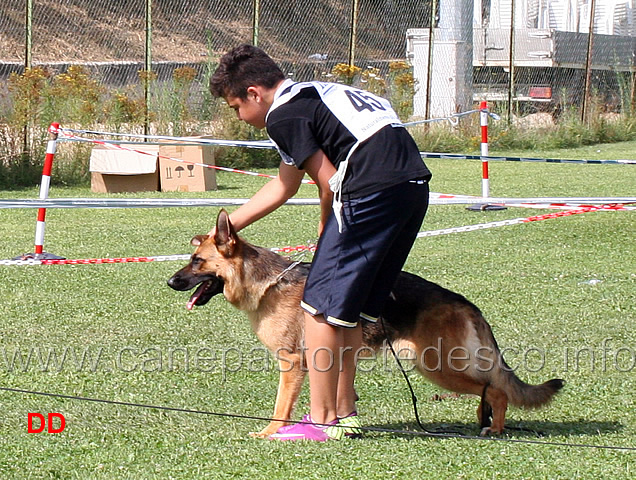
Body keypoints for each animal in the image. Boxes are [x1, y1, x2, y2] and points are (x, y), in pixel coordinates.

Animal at [166, 210, 564, 438]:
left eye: (197, 261)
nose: (170, 282)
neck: (265, 283)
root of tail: (464, 302)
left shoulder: (292, 365)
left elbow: (280, 407)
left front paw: (269, 433)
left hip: (436, 366)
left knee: (495, 389)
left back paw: (494, 427)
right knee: (489, 388)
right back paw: (485, 421)